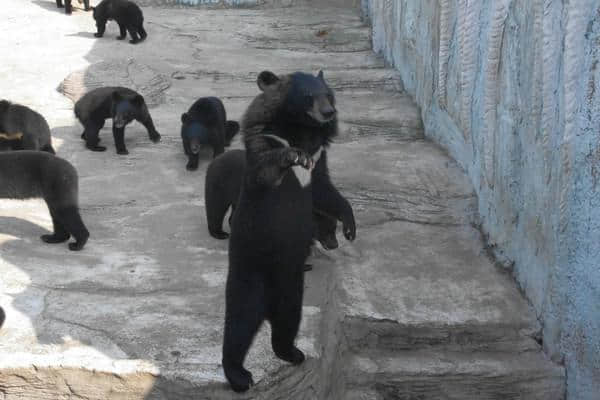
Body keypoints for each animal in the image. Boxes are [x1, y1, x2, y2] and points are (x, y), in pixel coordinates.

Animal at [205, 148, 338, 252]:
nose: (334, 245)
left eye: (334, 228)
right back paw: (220, 233)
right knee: (215, 208)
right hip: (219, 183)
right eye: (325, 229)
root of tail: (217, 159)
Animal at [221, 70, 356, 392]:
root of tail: (267, 306)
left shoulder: (320, 157)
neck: (301, 130)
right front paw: (293, 156)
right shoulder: (264, 139)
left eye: (328, 95)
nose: (328, 112)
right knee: (239, 322)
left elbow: (324, 190)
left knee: (287, 320)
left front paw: (349, 226)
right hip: (250, 270)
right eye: (308, 96)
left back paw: (293, 353)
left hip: (292, 289)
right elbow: (266, 169)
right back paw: (239, 375)